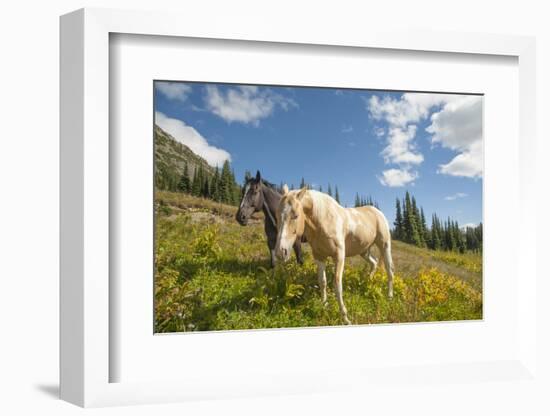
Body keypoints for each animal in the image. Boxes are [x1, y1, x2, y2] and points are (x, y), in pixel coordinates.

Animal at [278, 185, 394, 324]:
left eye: (295, 216)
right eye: (277, 214)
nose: (281, 252)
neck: (323, 220)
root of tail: (377, 212)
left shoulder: (338, 256)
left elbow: (337, 284)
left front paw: (345, 318)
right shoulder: (319, 256)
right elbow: (322, 281)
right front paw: (324, 306)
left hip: (384, 245)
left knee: (389, 270)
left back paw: (389, 296)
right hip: (364, 251)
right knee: (374, 263)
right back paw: (368, 282)